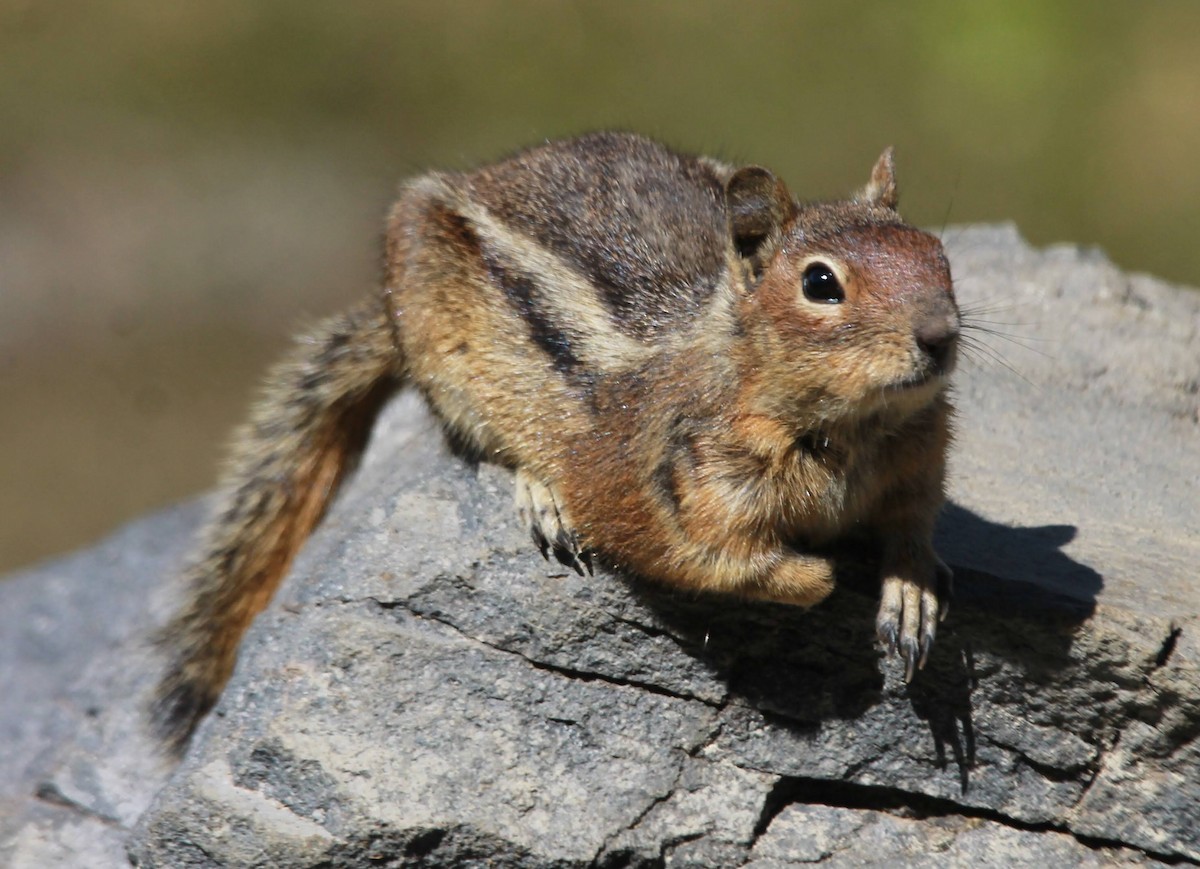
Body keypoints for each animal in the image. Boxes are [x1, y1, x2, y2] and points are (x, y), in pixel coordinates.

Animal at [152, 131, 959, 754]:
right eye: (821, 283)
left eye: (938, 253)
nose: (941, 335)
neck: (849, 431)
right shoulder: (651, 484)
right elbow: (720, 563)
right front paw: (820, 578)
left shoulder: (919, 463)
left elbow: (914, 528)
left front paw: (912, 591)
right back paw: (540, 495)